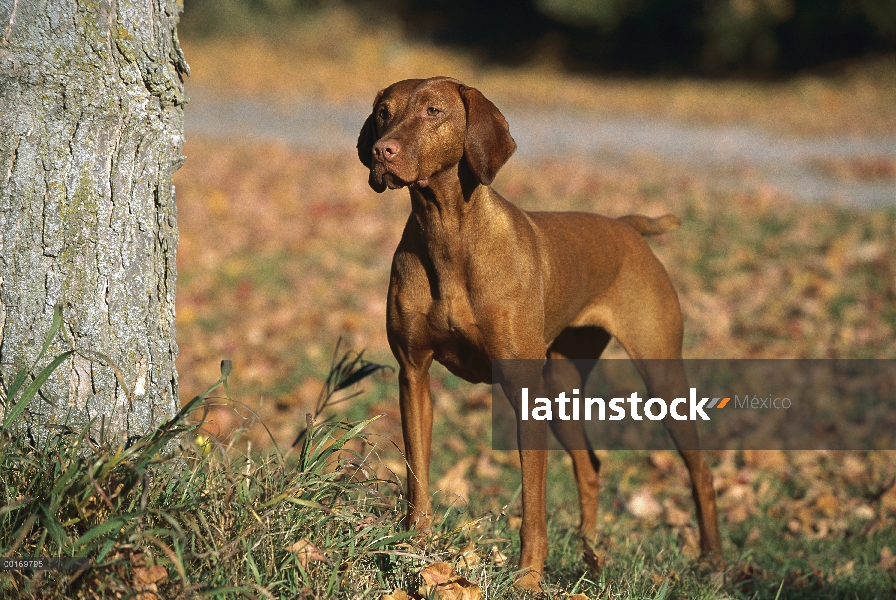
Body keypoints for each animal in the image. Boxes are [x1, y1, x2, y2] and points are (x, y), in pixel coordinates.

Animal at [356, 77, 720, 588]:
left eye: (433, 111)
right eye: (384, 112)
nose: (380, 151)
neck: (448, 234)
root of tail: (627, 228)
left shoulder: (522, 388)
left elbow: (533, 505)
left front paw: (528, 578)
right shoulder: (413, 375)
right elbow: (417, 478)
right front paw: (416, 547)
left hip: (660, 374)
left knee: (700, 470)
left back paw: (713, 562)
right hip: (561, 386)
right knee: (590, 465)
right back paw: (590, 555)